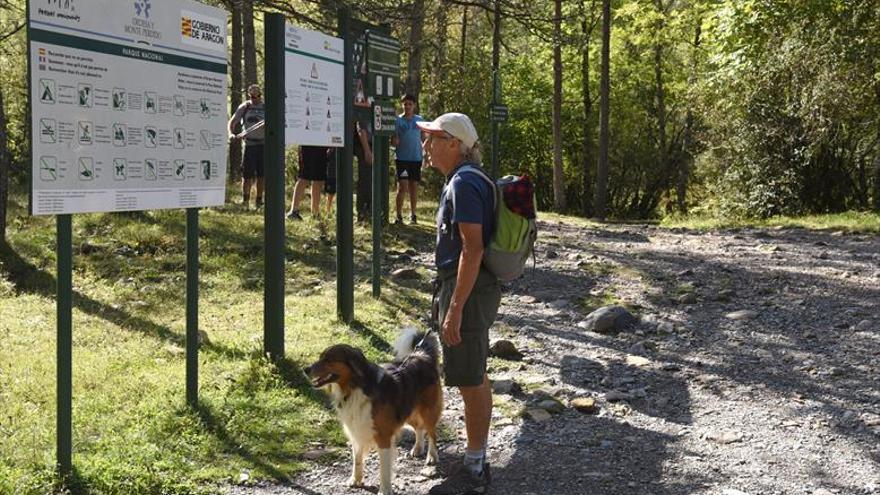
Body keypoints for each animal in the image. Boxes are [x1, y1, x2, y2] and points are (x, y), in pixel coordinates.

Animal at [306, 330, 444, 495]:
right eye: (321, 357)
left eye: (329, 359)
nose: (305, 370)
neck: (355, 387)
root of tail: (421, 355)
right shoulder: (357, 430)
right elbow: (357, 460)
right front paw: (355, 480)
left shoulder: (383, 436)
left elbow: (383, 469)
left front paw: (384, 490)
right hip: (407, 411)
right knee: (419, 427)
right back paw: (417, 448)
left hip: (428, 411)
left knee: (432, 433)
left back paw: (432, 456)